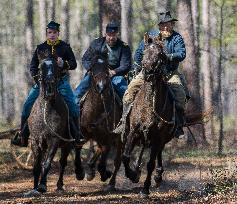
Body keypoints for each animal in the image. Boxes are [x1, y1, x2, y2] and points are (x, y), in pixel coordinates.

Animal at [26, 56, 84, 196]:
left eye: (57, 67)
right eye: (40, 67)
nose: (50, 87)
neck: (46, 110)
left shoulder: (54, 140)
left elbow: (47, 164)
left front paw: (41, 186)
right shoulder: (35, 141)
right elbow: (37, 166)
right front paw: (35, 188)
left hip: (68, 143)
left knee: (66, 160)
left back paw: (69, 179)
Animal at [78, 51, 122, 190]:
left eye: (106, 68)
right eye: (93, 68)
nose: (101, 86)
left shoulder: (108, 136)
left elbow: (104, 158)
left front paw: (104, 173)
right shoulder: (85, 133)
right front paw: (87, 172)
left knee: (117, 161)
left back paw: (111, 183)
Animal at [122, 33, 207, 198]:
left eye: (160, 54)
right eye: (144, 53)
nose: (148, 72)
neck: (149, 105)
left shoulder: (157, 136)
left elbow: (151, 163)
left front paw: (145, 189)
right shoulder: (134, 131)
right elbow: (126, 156)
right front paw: (132, 174)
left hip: (163, 137)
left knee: (158, 154)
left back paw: (158, 176)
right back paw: (137, 169)